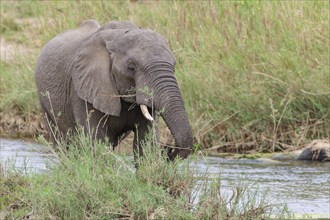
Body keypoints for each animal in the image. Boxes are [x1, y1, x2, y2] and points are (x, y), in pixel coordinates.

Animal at [34, 19, 193, 161]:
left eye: (174, 66)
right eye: (131, 68)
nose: (168, 150)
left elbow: (145, 143)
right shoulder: (80, 89)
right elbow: (96, 141)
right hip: (43, 100)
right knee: (62, 142)